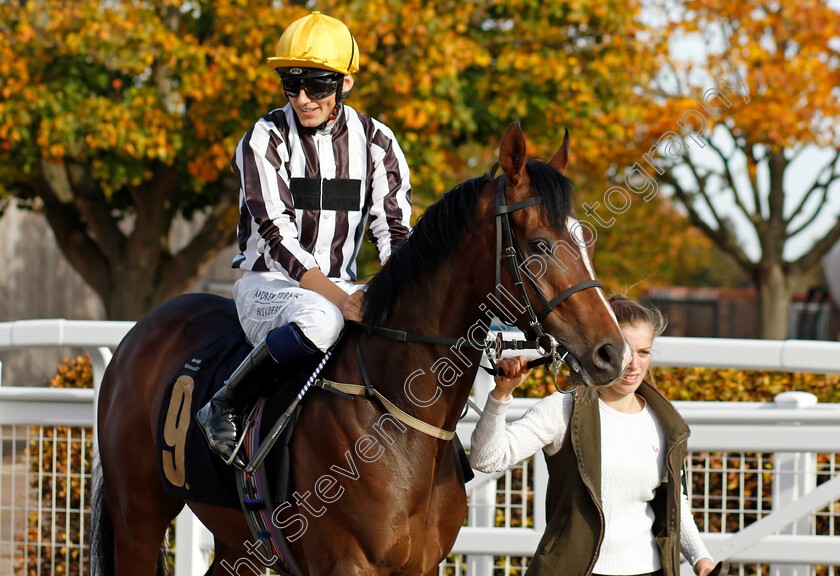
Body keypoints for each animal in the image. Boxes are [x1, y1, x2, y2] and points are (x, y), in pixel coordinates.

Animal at [93, 122, 632, 576]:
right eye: (540, 245)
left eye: (584, 240)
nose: (612, 353)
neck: (397, 415)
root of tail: (143, 330)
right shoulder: (347, 565)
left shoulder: (421, 567)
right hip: (138, 517)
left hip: (233, 536)